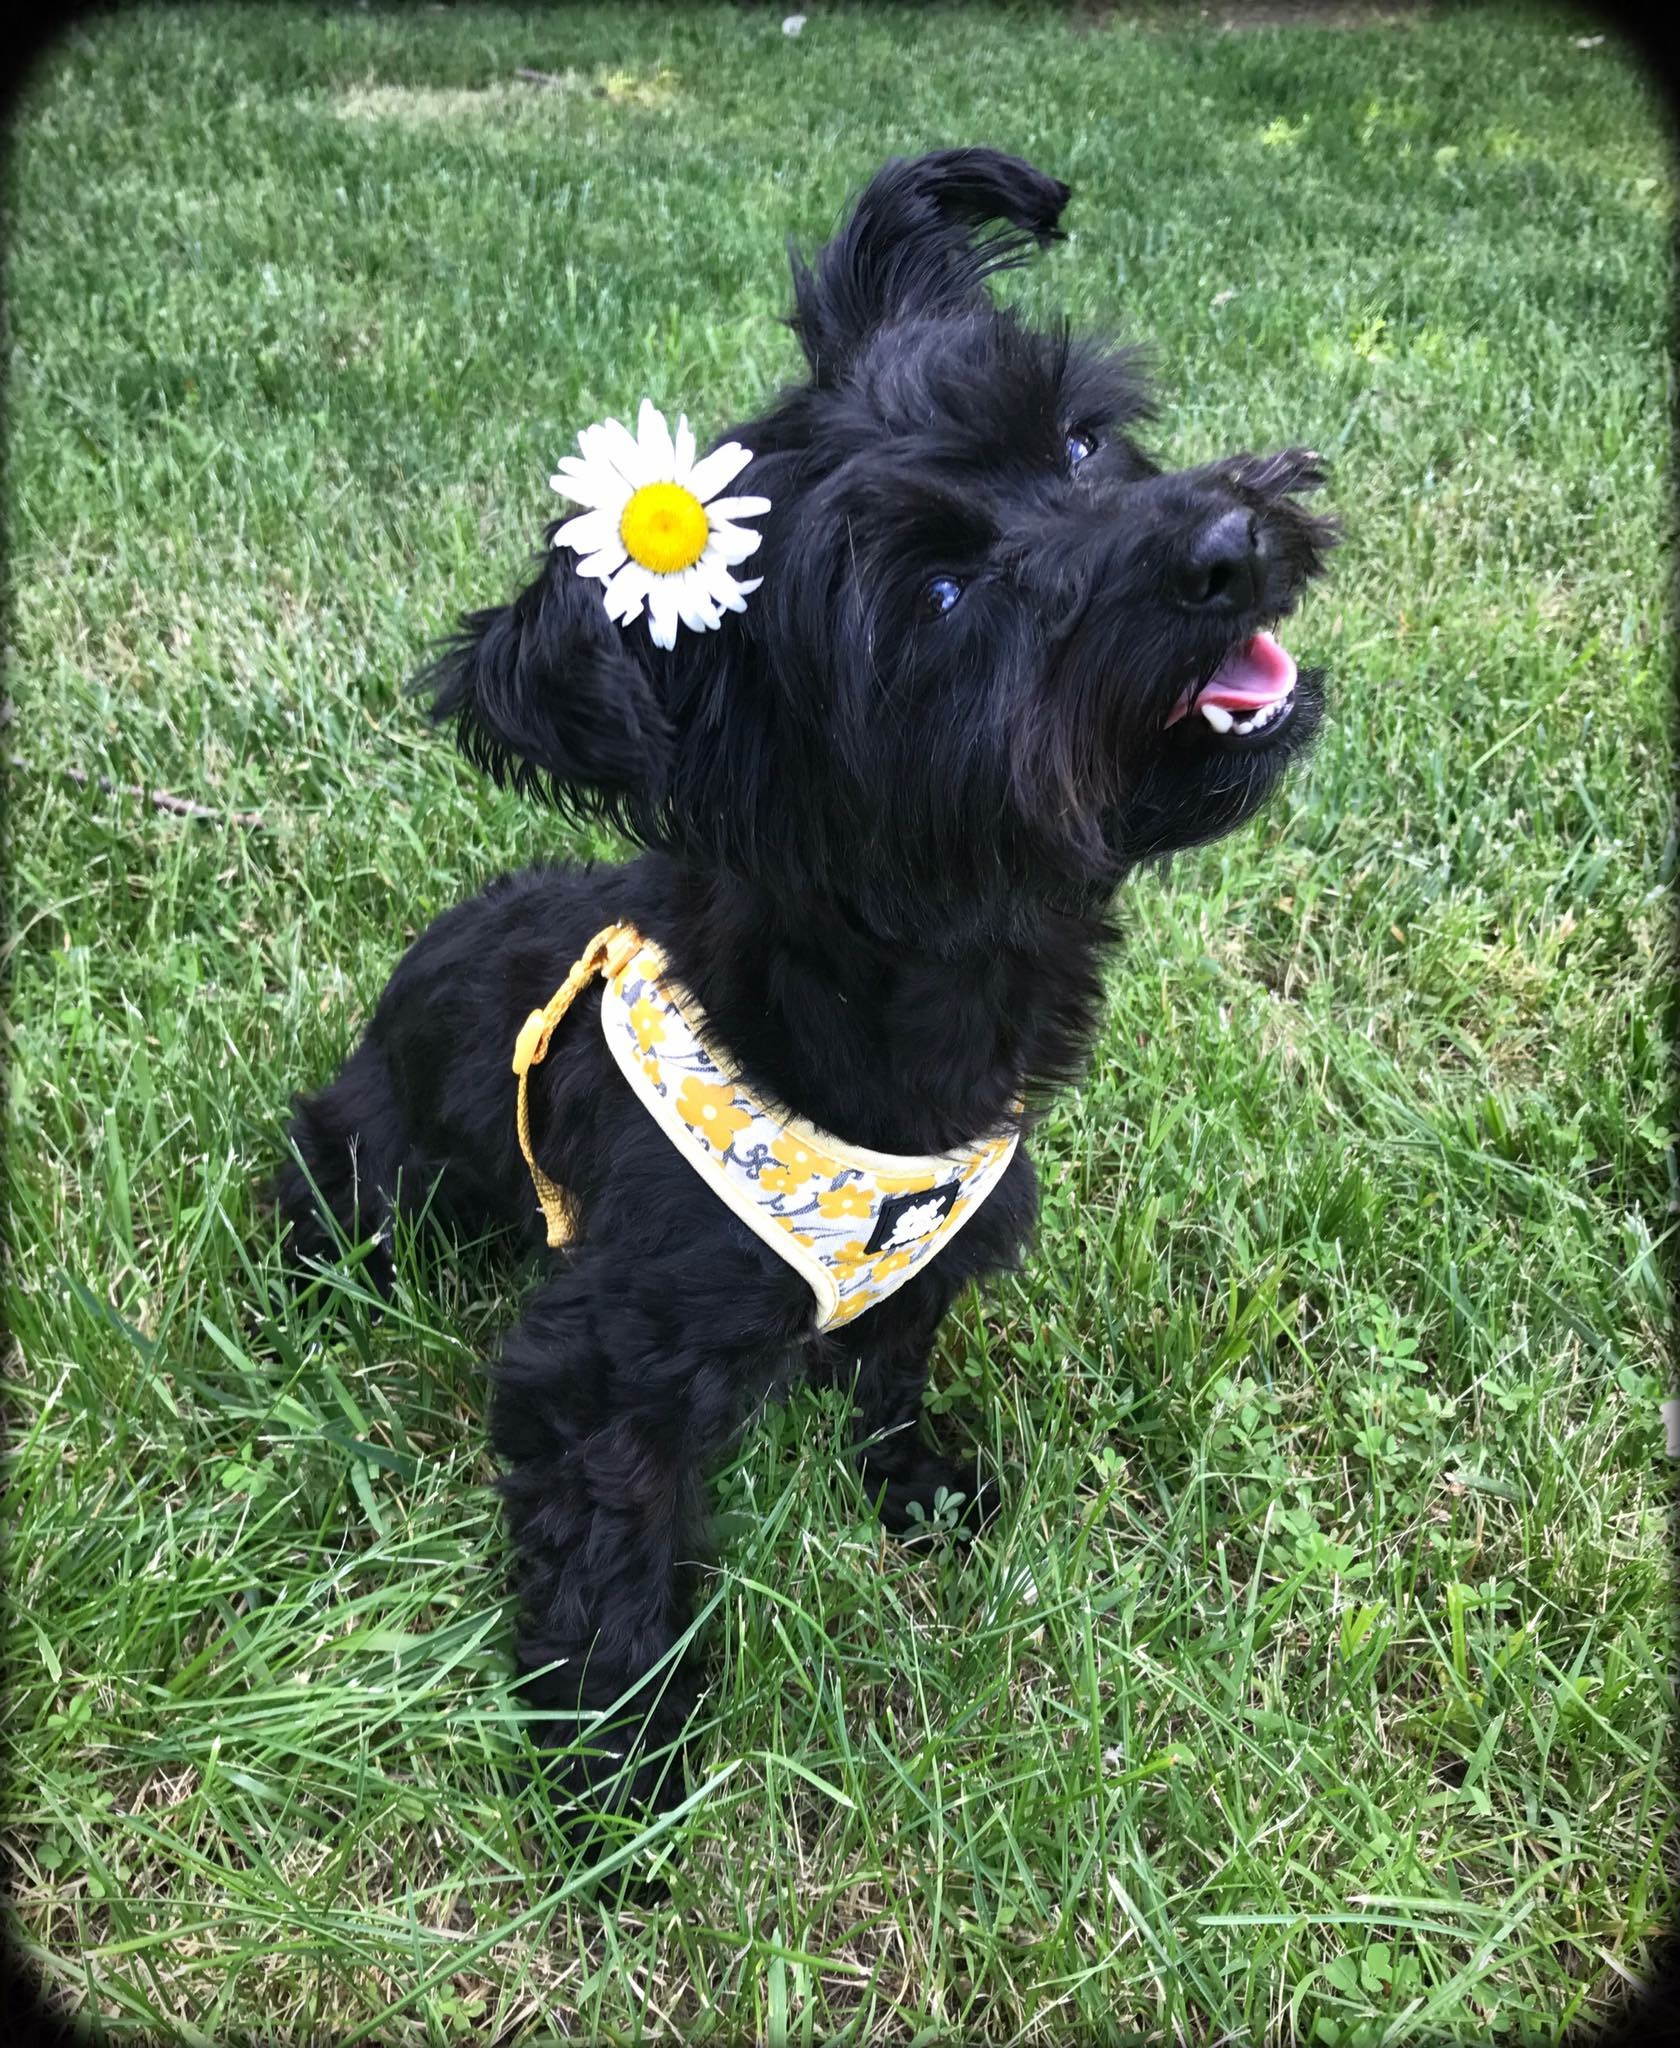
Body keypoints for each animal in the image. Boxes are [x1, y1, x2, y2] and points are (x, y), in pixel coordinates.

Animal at [284, 155, 1335, 1826]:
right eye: (948, 592)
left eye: (1082, 439)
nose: (1226, 540)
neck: (908, 1005)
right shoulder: (602, 1371)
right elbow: (608, 1568)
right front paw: (617, 1780)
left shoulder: (930, 1261)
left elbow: (894, 1368)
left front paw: (919, 1489)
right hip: (370, 1168)